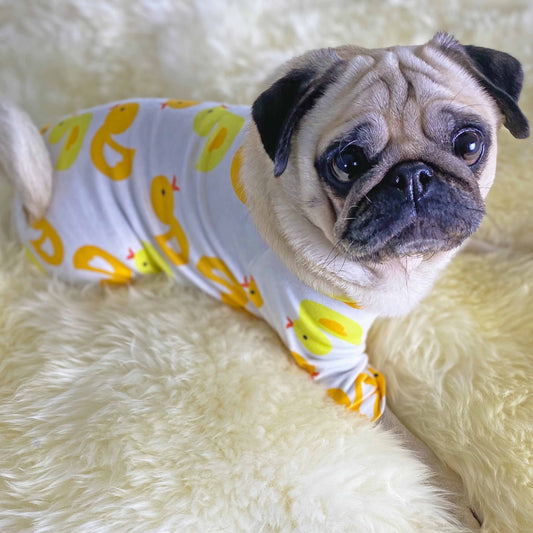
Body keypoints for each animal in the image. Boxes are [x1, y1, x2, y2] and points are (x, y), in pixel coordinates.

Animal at [0, 33, 524, 528]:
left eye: (469, 145)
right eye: (348, 163)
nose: (412, 176)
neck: (396, 266)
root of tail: (38, 189)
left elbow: (479, 241)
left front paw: (515, 252)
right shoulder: (341, 369)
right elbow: (418, 452)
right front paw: (455, 504)